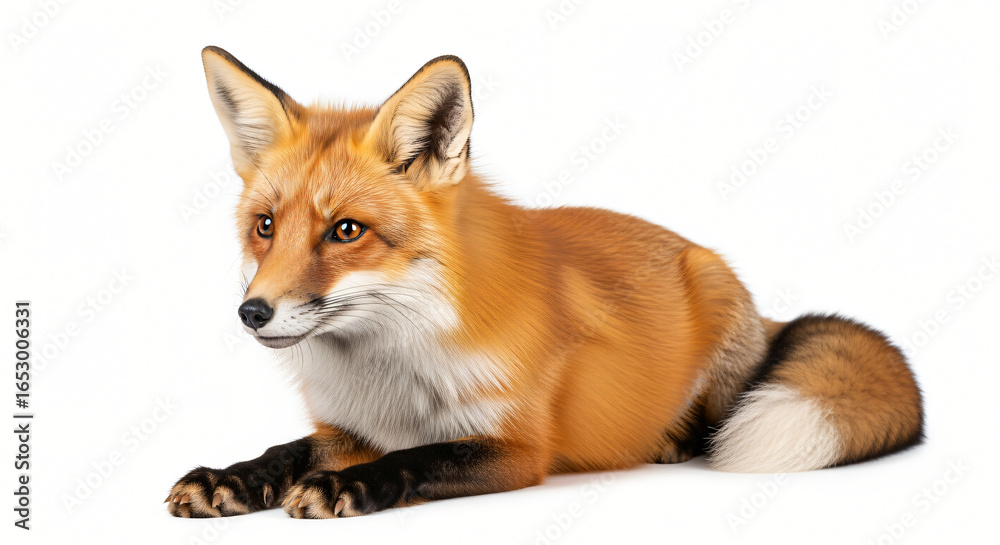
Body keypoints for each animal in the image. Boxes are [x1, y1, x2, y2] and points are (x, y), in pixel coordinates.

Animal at [166, 46, 924, 518]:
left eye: (346, 231)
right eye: (265, 226)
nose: (253, 312)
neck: (394, 366)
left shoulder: (519, 448)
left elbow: (417, 459)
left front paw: (341, 486)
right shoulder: (352, 424)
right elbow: (287, 450)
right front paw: (230, 477)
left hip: (715, 327)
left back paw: (674, 438)